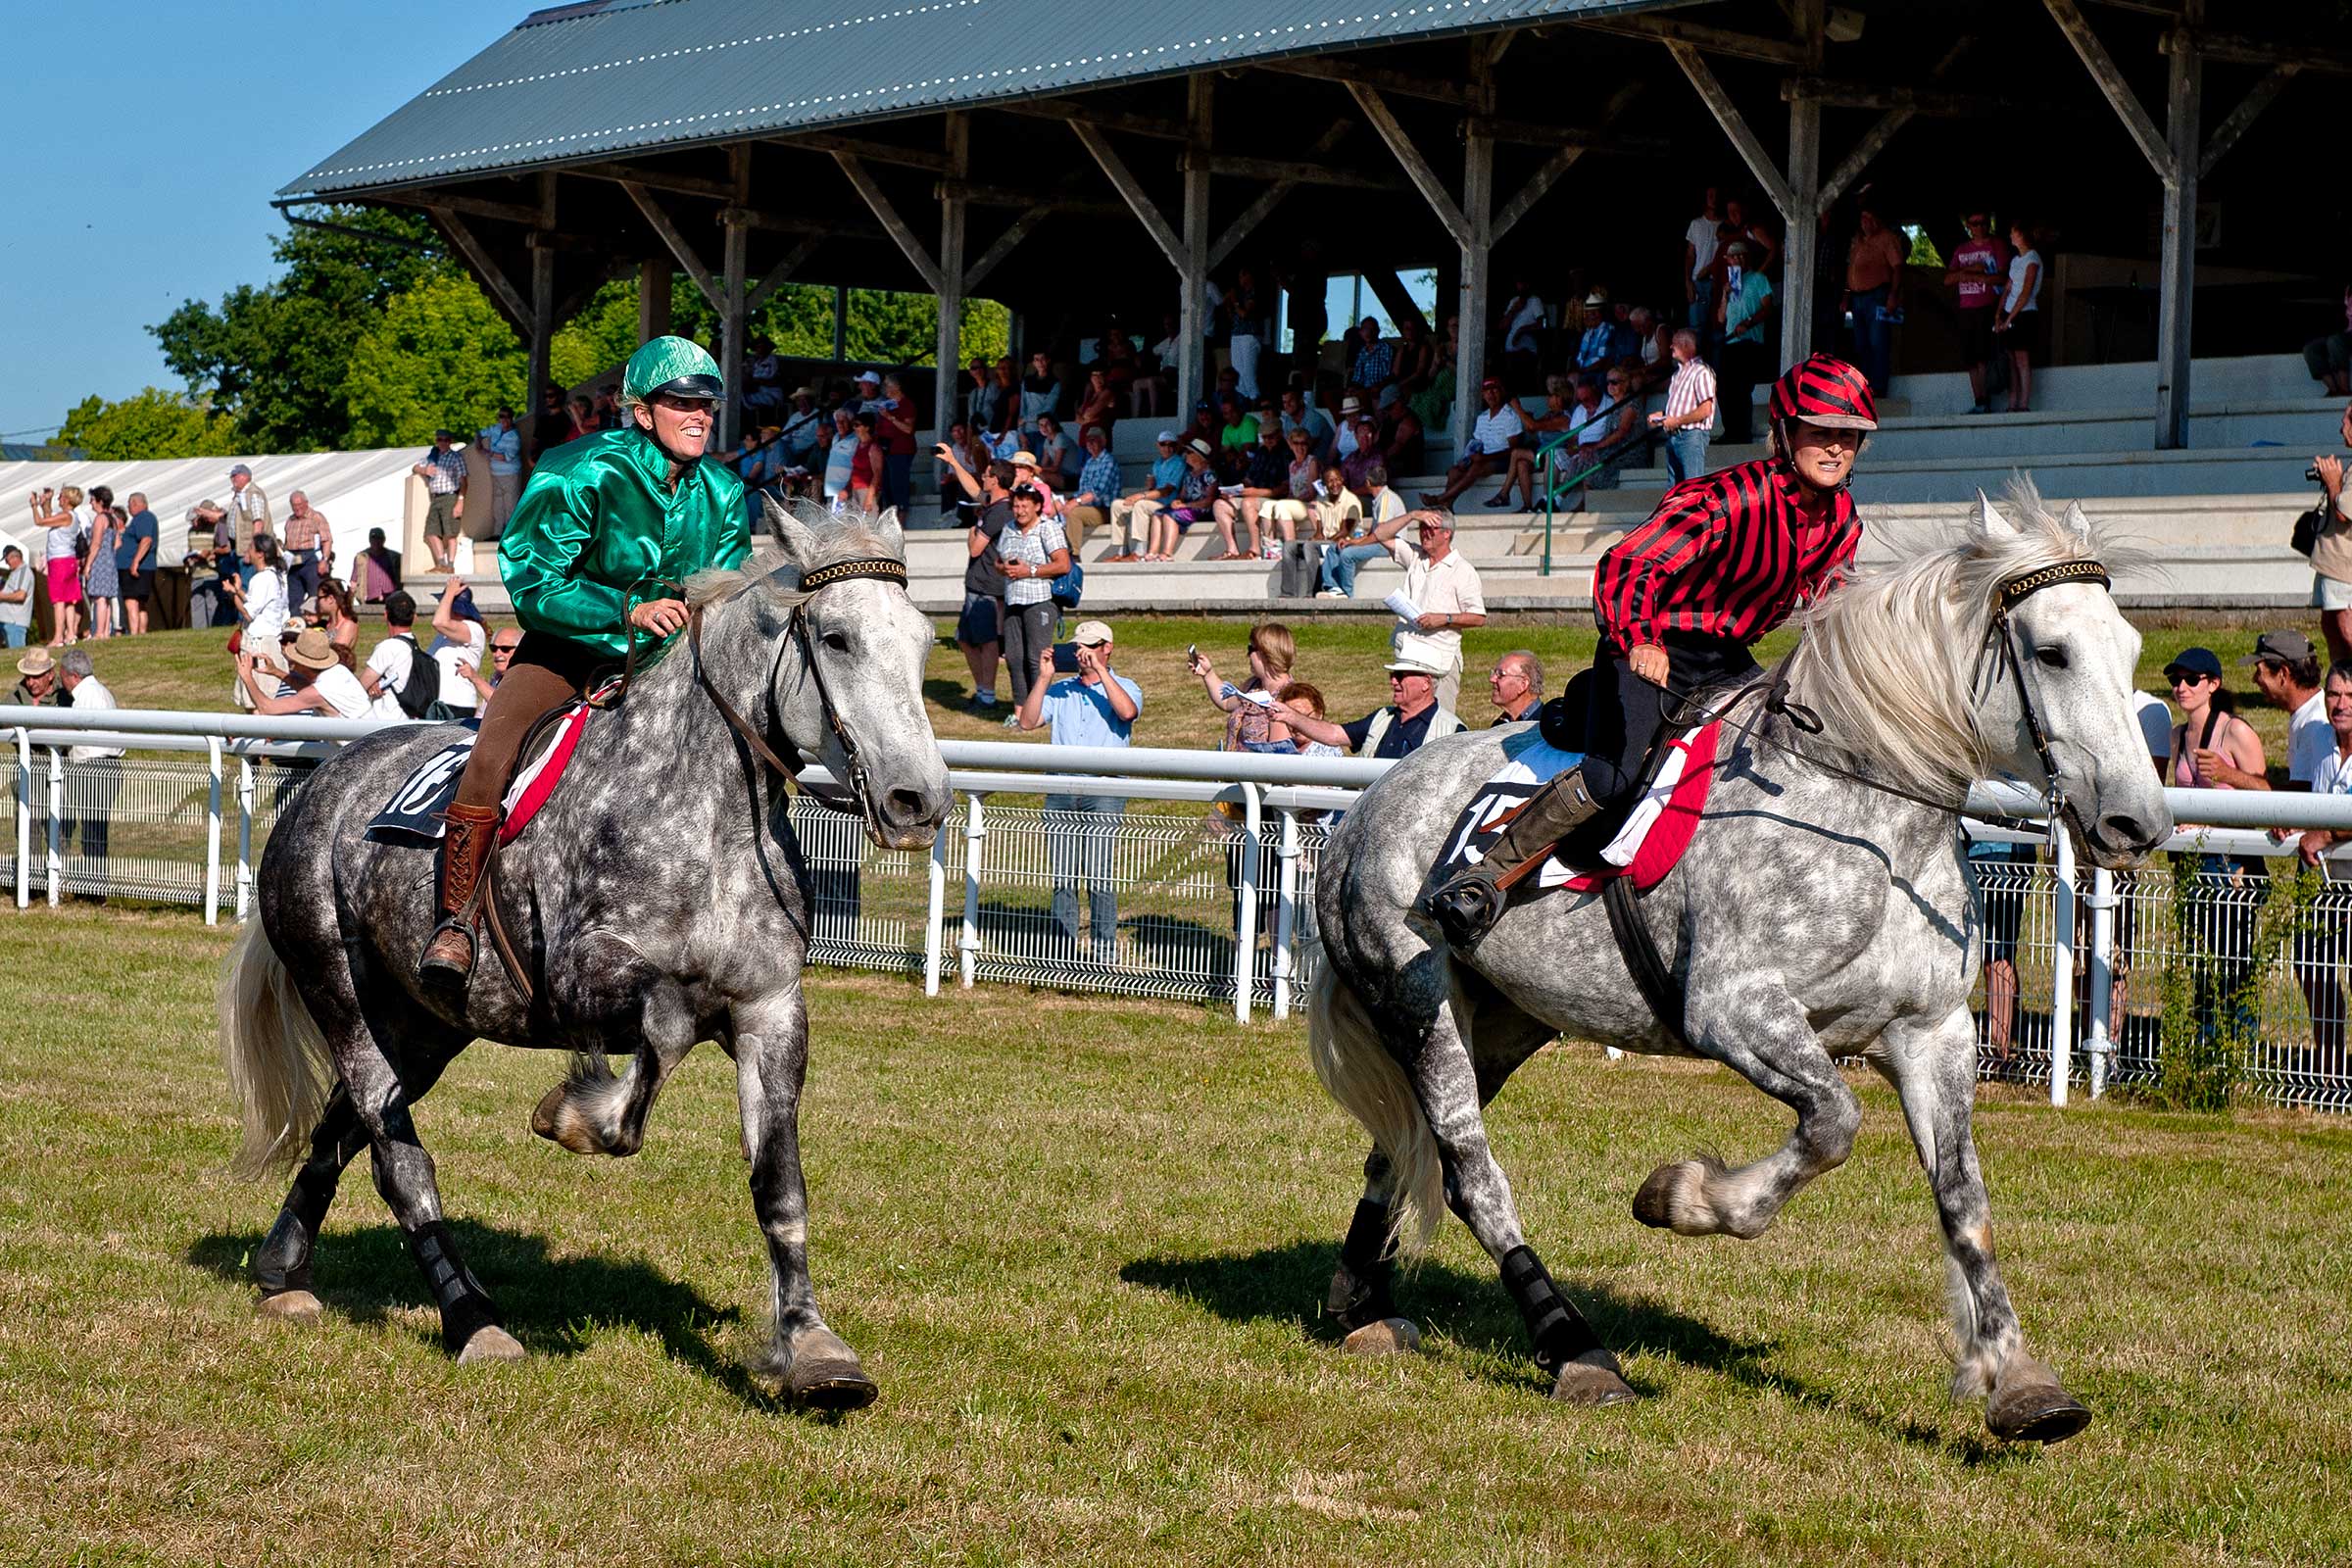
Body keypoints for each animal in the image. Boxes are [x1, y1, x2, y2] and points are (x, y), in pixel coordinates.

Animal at [219, 503, 945, 1410]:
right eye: (838, 638)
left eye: (923, 640)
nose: (919, 801)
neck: (704, 815)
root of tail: (315, 788)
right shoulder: (582, 983)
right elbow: (661, 1034)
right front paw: (574, 1116)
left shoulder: (772, 1011)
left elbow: (780, 1188)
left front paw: (813, 1348)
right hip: (343, 999)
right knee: (396, 1157)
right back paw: (473, 1319)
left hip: (423, 1026)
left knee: (338, 1132)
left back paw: (282, 1270)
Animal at [1307, 481, 2164, 1447]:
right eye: (2052, 652)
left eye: (2130, 649)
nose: (2139, 824)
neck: (1863, 817)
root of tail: (1362, 809)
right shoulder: (1736, 1012)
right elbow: (1831, 1125)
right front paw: (1683, 1198)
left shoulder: (1933, 1034)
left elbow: (1964, 1202)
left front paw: (2018, 1380)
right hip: (1417, 1003)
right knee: (1469, 1174)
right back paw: (1576, 1351)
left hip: (1496, 1023)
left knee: (1395, 1150)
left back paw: (1360, 1304)